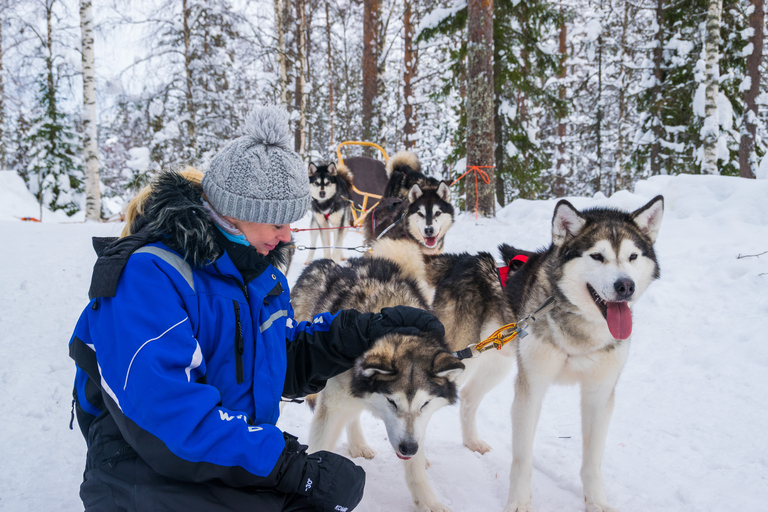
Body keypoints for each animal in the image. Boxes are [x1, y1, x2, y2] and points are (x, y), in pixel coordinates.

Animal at [292, 246, 462, 510]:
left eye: (424, 404)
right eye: (392, 401)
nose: (409, 448)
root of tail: (321, 263)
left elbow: (415, 470)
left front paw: (428, 502)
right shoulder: (332, 406)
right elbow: (320, 447)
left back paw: (358, 444)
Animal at [504, 196, 664, 512]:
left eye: (633, 256)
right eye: (597, 256)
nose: (625, 286)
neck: (581, 332)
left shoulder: (599, 394)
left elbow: (592, 461)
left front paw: (597, 503)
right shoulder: (530, 389)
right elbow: (522, 457)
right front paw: (518, 501)